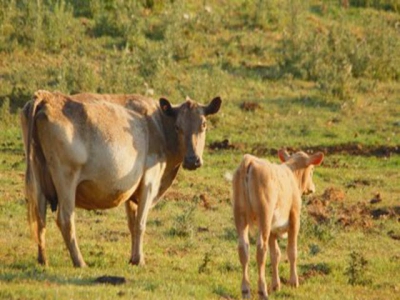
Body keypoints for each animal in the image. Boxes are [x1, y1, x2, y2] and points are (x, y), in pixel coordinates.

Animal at [21, 89, 222, 268]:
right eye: (178, 127)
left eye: (203, 125)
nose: (192, 160)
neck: (157, 125)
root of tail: (46, 97)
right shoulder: (149, 181)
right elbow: (140, 223)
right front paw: (140, 260)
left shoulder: (132, 190)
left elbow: (132, 224)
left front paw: (133, 258)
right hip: (66, 178)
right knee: (65, 219)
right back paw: (80, 262)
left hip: (38, 178)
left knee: (40, 217)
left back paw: (43, 260)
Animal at [233, 149, 324, 298]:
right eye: (312, 170)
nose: (312, 188)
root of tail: (250, 161)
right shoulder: (294, 219)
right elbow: (292, 251)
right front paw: (293, 282)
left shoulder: (272, 228)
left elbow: (275, 255)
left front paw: (276, 285)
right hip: (264, 216)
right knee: (261, 249)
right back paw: (262, 290)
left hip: (240, 216)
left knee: (243, 248)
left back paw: (246, 290)